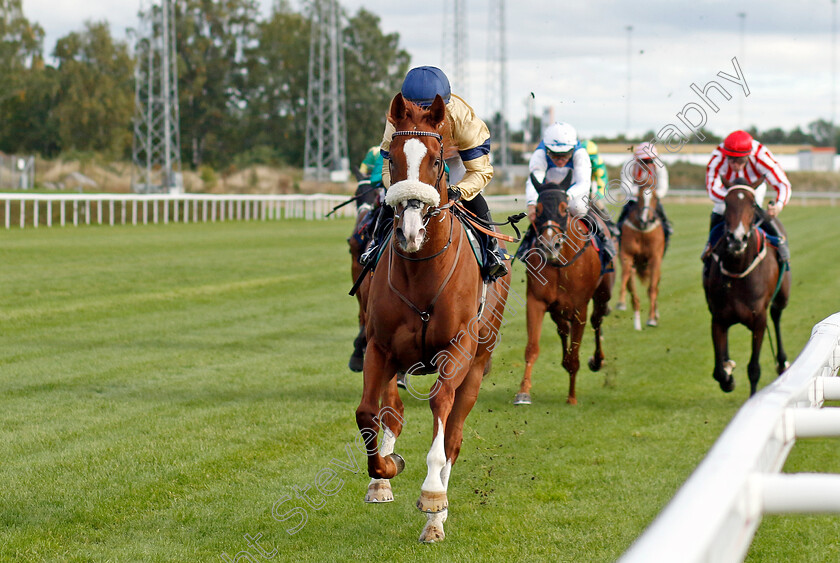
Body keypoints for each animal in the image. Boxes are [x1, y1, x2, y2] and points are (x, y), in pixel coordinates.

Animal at [354, 94, 512, 544]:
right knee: (391, 410)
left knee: (454, 436)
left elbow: (441, 412)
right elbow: (368, 413)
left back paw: (436, 516)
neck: (423, 270)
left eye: (438, 159)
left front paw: (431, 498)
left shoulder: (457, 349)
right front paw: (385, 470)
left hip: (478, 362)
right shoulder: (380, 346)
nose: (409, 231)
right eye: (391, 157)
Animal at [516, 176, 612, 406]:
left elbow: (576, 353)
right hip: (557, 309)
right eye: (538, 209)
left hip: (603, 294)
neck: (560, 263)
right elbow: (532, 348)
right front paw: (523, 392)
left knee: (597, 321)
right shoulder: (536, 301)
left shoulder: (579, 308)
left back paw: (597, 360)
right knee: (563, 329)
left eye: (563, 208)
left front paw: (572, 397)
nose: (550, 246)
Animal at [612, 185, 668, 328]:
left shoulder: (655, 259)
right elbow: (625, 276)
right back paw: (637, 323)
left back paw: (655, 314)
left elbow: (652, 289)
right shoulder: (627, 255)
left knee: (655, 287)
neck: (642, 231)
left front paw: (652, 319)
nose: (645, 219)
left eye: (655, 198)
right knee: (633, 292)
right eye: (639, 198)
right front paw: (620, 302)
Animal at [704, 185, 792, 396]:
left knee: (776, 314)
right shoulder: (718, 317)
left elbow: (754, 368)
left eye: (752, 204)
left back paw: (782, 362)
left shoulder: (759, 320)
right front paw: (727, 377)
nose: (737, 239)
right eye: (727, 203)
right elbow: (718, 371)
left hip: (782, 295)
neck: (738, 269)